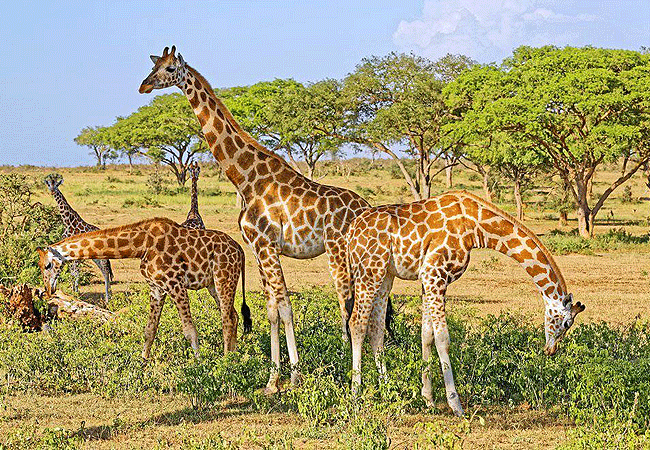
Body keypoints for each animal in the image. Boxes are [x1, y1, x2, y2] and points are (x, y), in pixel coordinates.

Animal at [37, 217, 251, 357]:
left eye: (47, 265)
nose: (48, 290)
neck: (141, 245)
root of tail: (240, 250)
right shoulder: (156, 287)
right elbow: (150, 329)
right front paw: (143, 362)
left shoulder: (175, 283)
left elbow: (189, 329)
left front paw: (198, 365)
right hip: (213, 285)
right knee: (233, 315)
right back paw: (235, 356)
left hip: (224, 277)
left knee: (227, 319)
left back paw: (226, 361)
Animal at [44, 173, 113, 302]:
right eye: (49, 184)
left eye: (57, 184)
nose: (52, 191)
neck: (68, 222)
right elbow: (72, 273)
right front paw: (72, 292)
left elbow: (76, 273)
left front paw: (76, 294)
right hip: (95, 257)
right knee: (103, 270)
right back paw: (108, 296)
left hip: (101, 255)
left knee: (106, 271)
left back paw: (107, 298)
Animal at [139, 46, 380, 393]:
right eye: (153, 65)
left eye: (170, 69)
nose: (143, 86)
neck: (246, 179)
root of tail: (367, 208)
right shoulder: (256, 249)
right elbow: (271, 311)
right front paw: (272, 379)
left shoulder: (267, 246)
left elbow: (286, 307)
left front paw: (293, 376)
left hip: (338, 254)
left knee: (349, 307)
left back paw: (353, 375)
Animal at [346, 191, 585, 417]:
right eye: (566, 324)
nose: (551, 350)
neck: (476, 227)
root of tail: (350, 233)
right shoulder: (435, 273)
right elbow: (443, 339)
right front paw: (456, 405)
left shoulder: (428, 279)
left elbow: (427, 335)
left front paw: (428, 399)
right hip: (370, 271)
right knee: (357, 323)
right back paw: (356, 396)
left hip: (385, 274)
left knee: (376, 329)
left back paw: (388, 390)